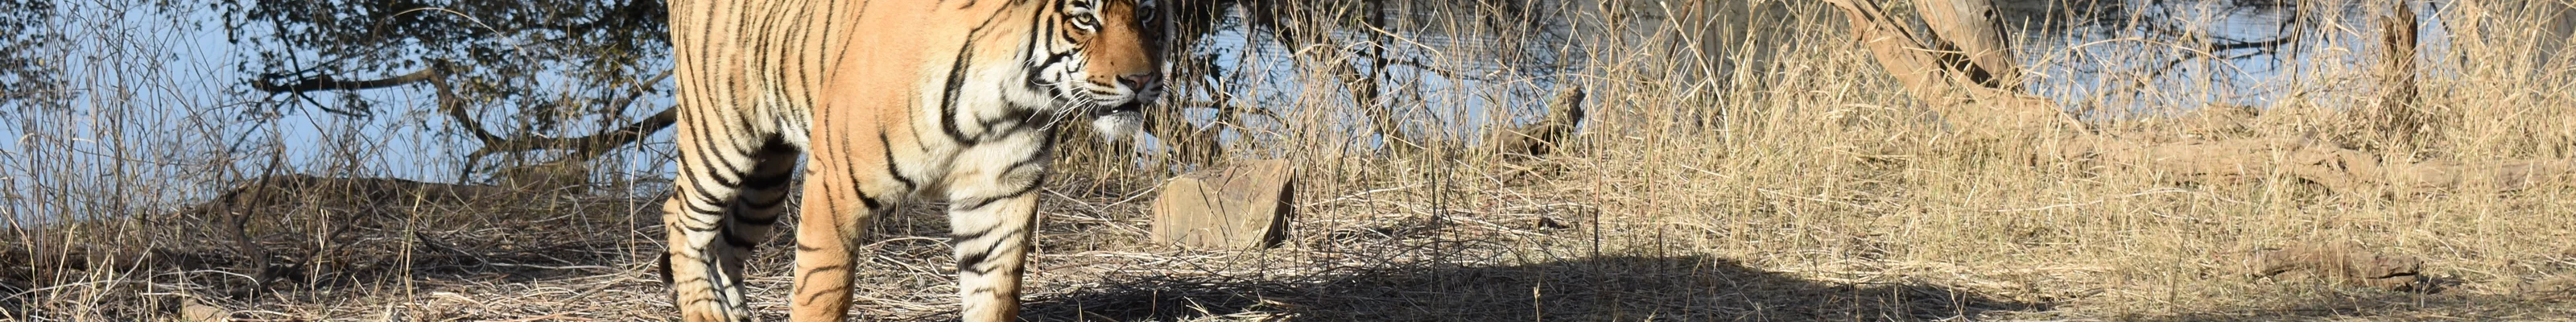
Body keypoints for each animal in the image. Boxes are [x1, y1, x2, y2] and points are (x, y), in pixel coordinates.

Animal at [657, 0, 1160, 321]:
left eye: (1148, 12)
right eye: (1084, 17)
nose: (1141, 80)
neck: (1005, 98)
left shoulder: (998, 194)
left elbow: (992, 294)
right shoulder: (833, 182)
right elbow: (823, 289)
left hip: (768, 178)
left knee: (724, 246)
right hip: (721, 135)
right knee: (681, 217)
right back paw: (705, 312)